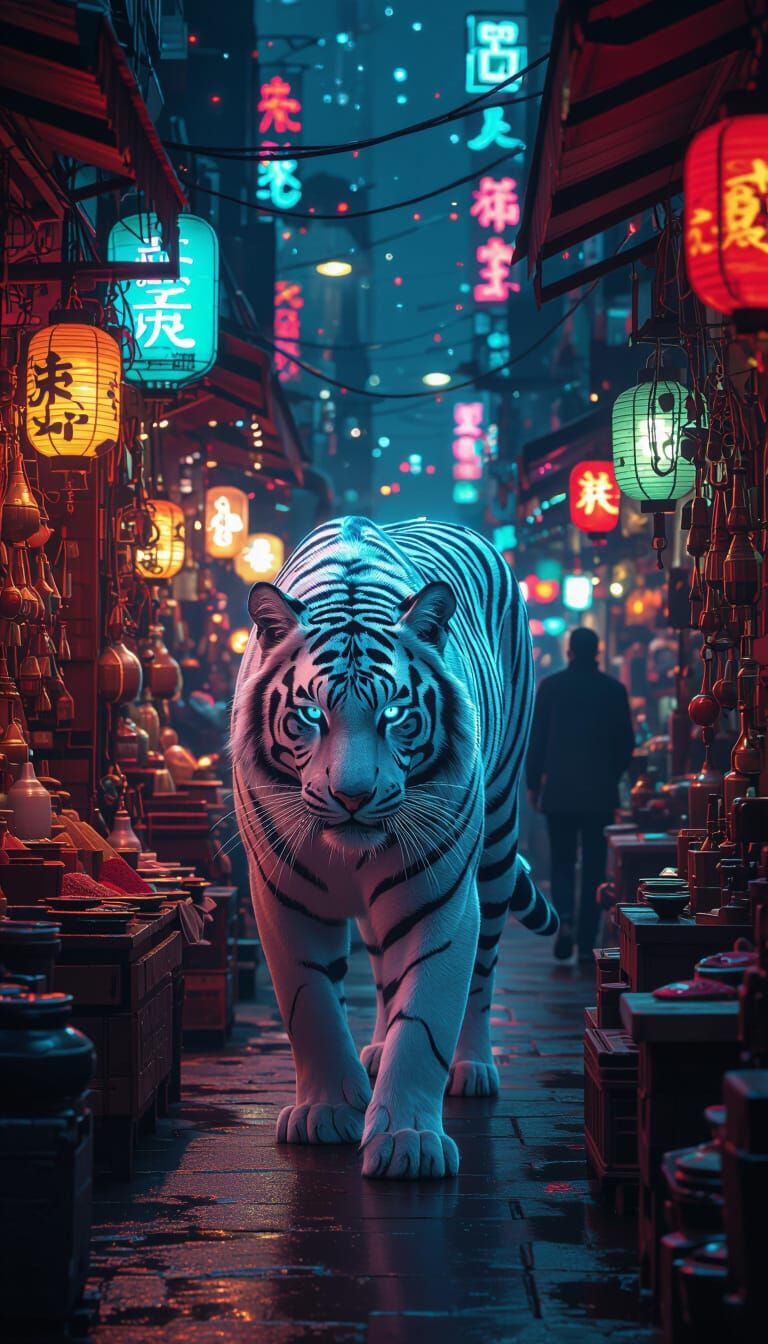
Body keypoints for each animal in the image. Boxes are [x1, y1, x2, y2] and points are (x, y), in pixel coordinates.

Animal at [231, 516, 558, 1180]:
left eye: (395, 714)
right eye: (310, 714)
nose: (353, 795)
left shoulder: (443, 895)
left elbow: (426, 1016)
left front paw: (409, 1141)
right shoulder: (281, 892)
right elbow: (311, 1004)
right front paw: (327, 1111)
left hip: (499, 837)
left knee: (483, 971)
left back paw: (473, 1068)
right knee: (383, 966)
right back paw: (375, 1050)